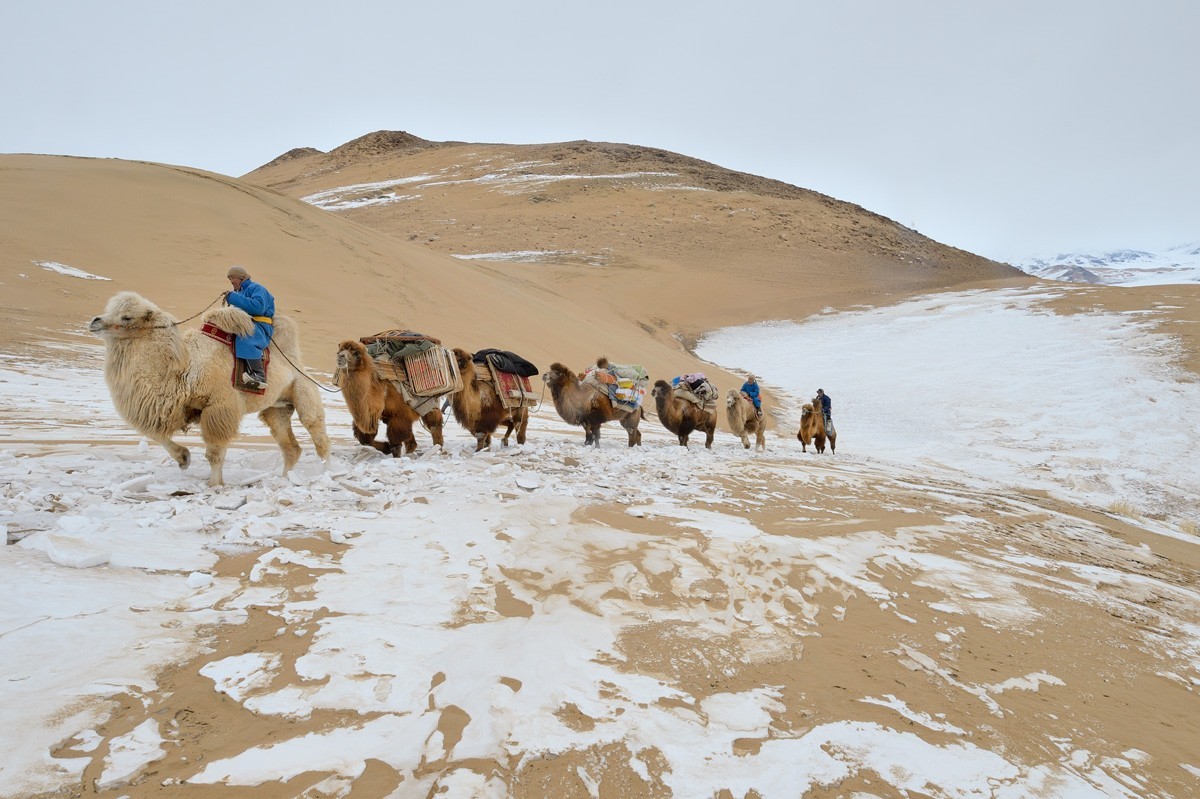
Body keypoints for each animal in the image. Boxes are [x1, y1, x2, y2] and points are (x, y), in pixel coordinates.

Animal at [87, 289, 333, 482]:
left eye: (127, 317)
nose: (95, 321)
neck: (183, 370)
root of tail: (296, 361)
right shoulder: (177, 408)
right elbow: (156, 433)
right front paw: (184, 459)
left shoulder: (220, 407)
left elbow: (214, 453)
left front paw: (215, 484)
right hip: (276, 408)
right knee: (290, 447)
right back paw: (285, 478)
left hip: (304, 392)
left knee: (318, 436)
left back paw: (327, 476)